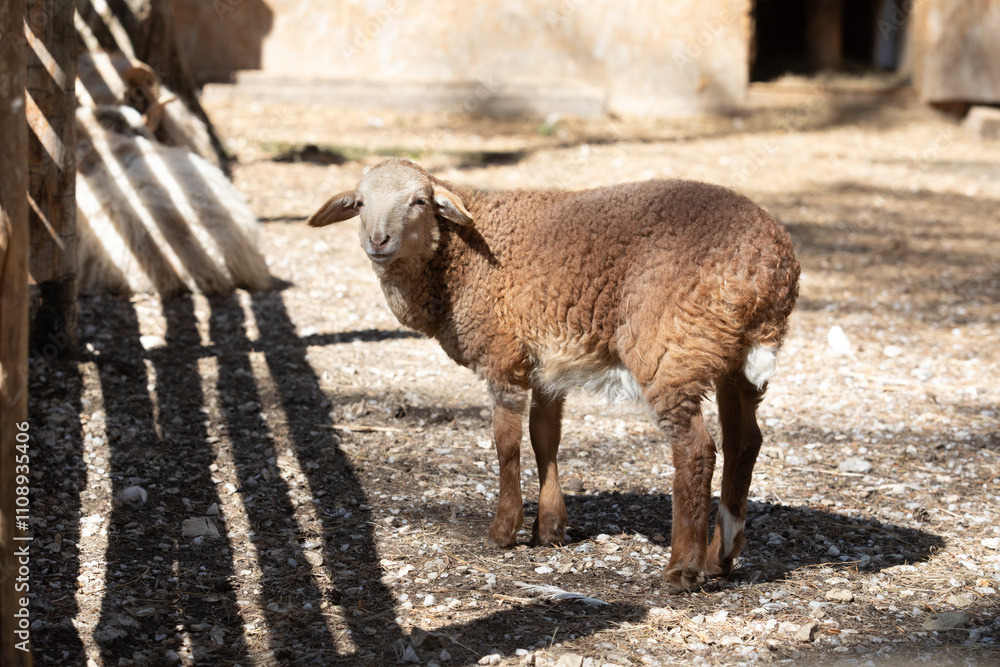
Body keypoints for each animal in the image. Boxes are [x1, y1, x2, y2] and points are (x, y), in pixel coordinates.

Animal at [308, 158, 799, 592]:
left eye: (420, 201)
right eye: (359, 203)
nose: (379, 240)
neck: (458, 266)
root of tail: (771, 269)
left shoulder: (502, 355)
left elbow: (506, 444)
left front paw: (504, 530)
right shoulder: (546, 362)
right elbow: (545, 437)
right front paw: (550, 528)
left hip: (674, 347)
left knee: (696, 449)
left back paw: (683, 570)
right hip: (729, 357)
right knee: (744, 442)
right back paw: (721, 556)